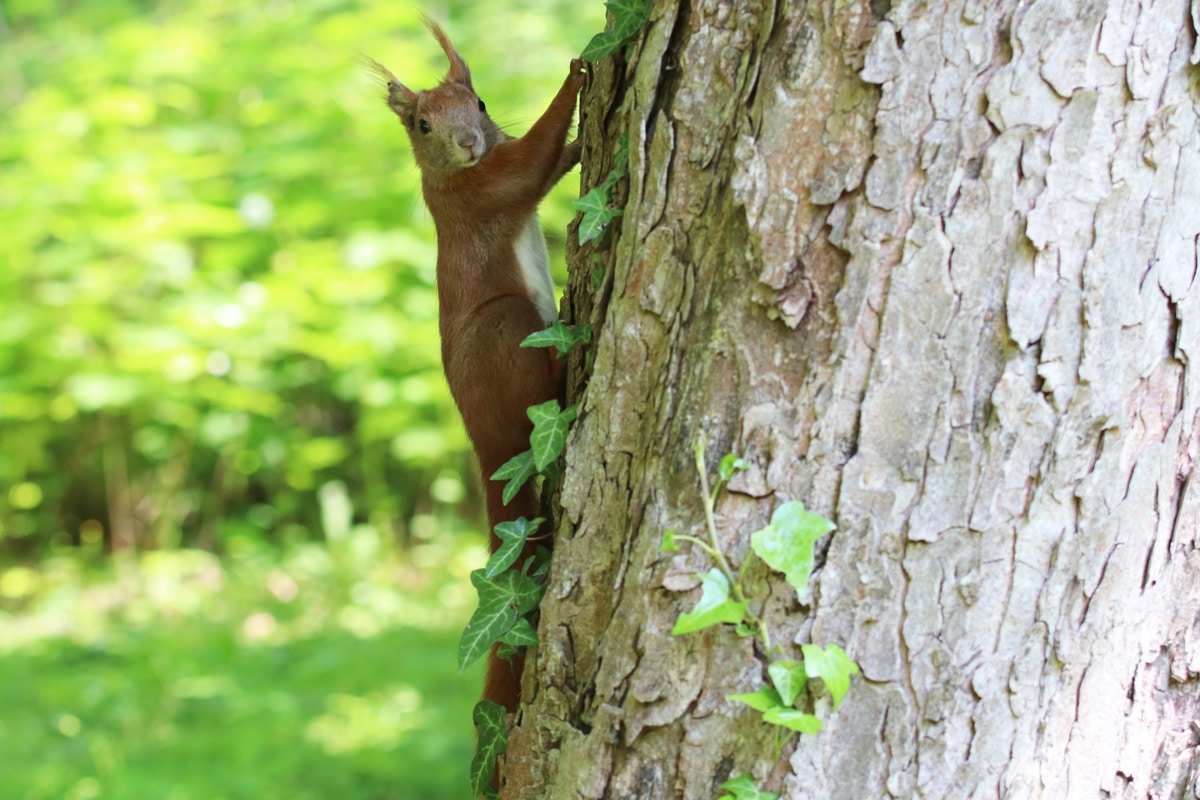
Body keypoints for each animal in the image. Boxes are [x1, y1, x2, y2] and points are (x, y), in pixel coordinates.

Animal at [369, 21, 585, 714]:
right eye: (422, 125)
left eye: (482, 104)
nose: (468, 143)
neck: (454, 174)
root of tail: (487, 450)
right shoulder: (481, 191)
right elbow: (531, 163)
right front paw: (578, 72)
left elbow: (543, 160)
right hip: (505, 331)